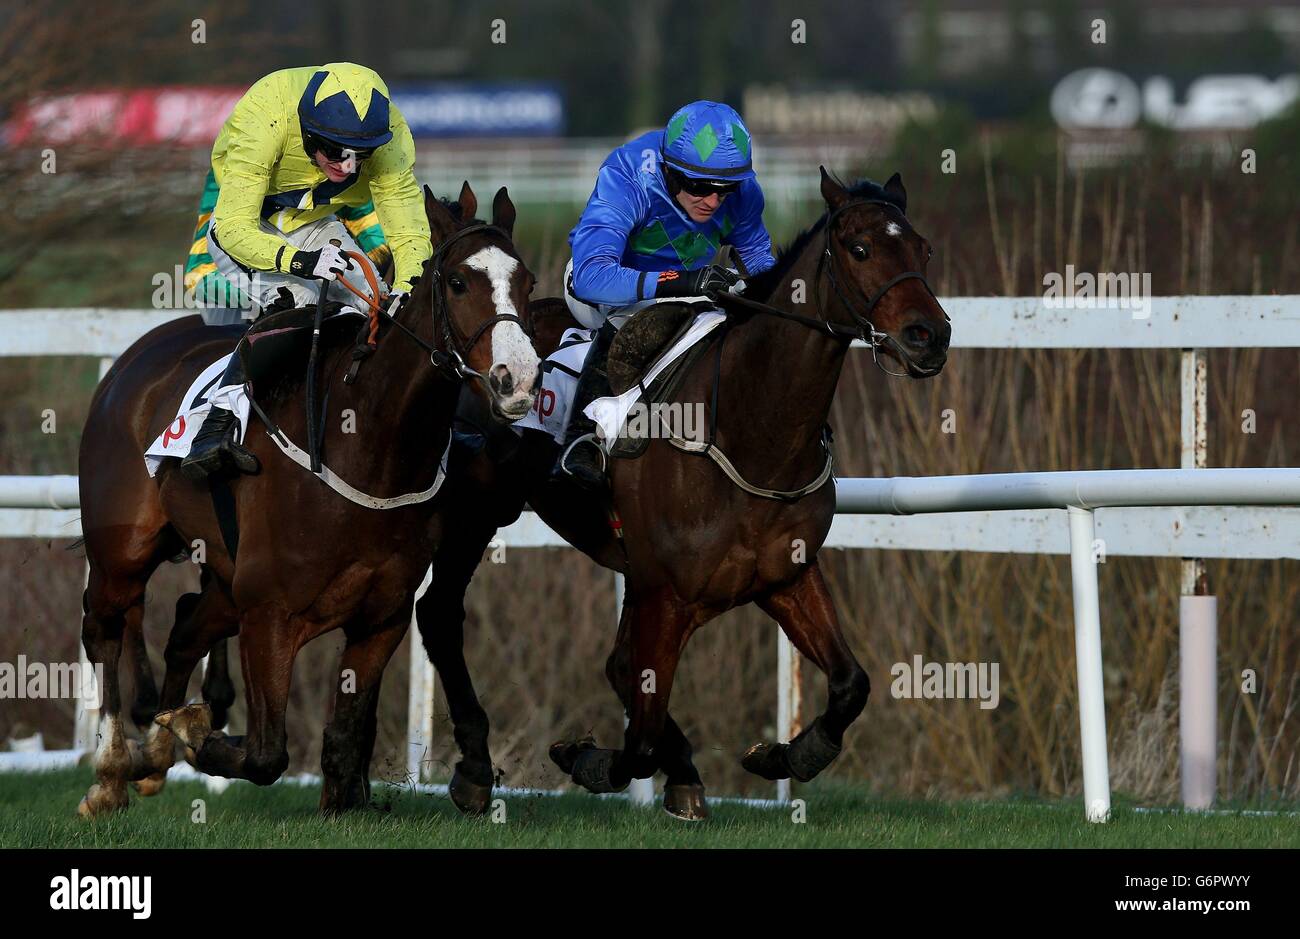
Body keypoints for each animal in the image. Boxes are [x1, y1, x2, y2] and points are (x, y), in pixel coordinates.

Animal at [73, 180, 540, 811]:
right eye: (459, 281)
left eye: (528, 283)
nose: (519, 380)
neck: (367, 448)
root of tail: (133, 359)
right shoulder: (269, 614)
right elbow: (266, 754)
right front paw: (193, 732)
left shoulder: (380, 617)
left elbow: (342, 737)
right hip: (123, 549)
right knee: (104, 626)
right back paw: (111, 771)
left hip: (222, 574)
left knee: (185, 623)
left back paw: (151, 754)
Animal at [416, 171, 956, 816]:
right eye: (861, 249)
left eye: (925, 249)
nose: (930, 336)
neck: (753, 433)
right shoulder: (667, 594)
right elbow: (640, 736)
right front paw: (587, 758)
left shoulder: (784, 576)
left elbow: (852, 684)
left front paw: (785, 756)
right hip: (473, 513)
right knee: (440, 612)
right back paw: (476, 769)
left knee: (615, 663)